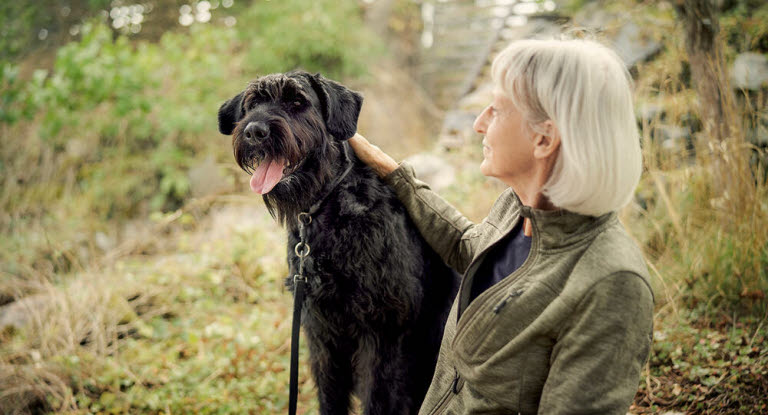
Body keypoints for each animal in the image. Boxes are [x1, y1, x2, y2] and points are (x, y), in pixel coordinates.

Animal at [218, 72, 456, 415]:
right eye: (251, 104)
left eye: (297, 101)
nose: (254, 131)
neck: (325, 212)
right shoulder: (321, 333)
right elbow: (330, 396)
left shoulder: (381, 333)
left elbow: (377, 399)